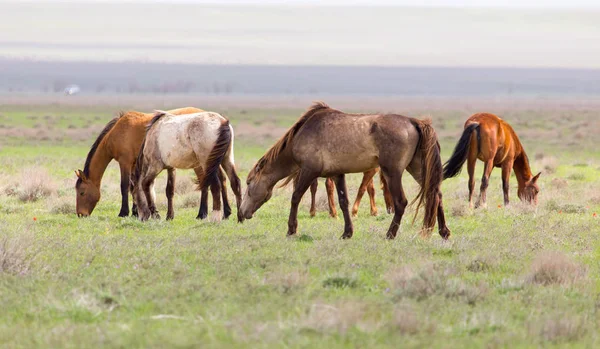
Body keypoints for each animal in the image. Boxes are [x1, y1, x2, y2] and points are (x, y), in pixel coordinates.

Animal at [74, 107, 232, 219]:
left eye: (82, 192)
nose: (81, 214)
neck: (117, 131)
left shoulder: (125, 163)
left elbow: (124, 186)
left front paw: (124, 212)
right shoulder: (134, 165)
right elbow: (134, 187)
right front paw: (136, 212)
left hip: (200, 163)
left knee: (206, 183)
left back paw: (202, 213)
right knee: (222, 179)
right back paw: (225, 212)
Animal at [239, 101, 450, 239]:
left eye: (248, 183)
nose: (240, 214)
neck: (303, 133)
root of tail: (415, 122)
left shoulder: (309, 171)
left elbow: (296, 197)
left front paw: (291, 229)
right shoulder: (337, 174)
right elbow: (343, 202)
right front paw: (347, 232)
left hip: (393, 172)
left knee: (401, 202)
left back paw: (390, 234)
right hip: (417, 169)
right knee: (435, 194)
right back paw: (443, 232)